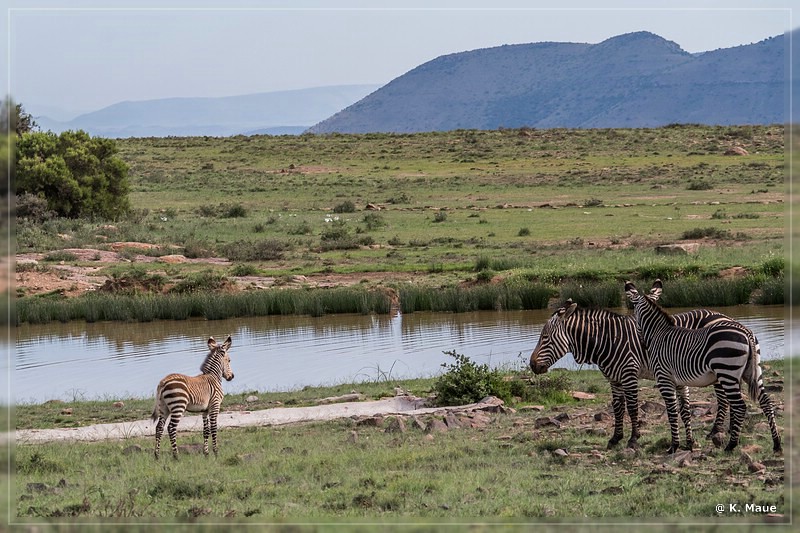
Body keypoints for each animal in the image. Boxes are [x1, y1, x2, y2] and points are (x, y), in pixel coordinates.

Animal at [532, 298, 736, 446]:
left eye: (545, 337)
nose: (533, 365)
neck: (607, 340)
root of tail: (726, 317)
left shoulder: (629, 374)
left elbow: (631, 408)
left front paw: (633, 438)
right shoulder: (614, 379)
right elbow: (617, 408)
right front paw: (615, 438)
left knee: (723, 399)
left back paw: (715, 431)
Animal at [624, 278, 780, 454]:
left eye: (635, 317)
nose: (643, 344)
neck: (659, 333)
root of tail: (746, 332)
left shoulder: (664, 379)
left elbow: (672, 412)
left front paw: (674, 446)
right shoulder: (679, 382)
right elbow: (685, 411)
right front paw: (689, 443)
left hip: (727, 372)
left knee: (740, 406)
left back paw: (731, 445)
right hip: (752, 372)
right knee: (766, 402)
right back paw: (777, 444)